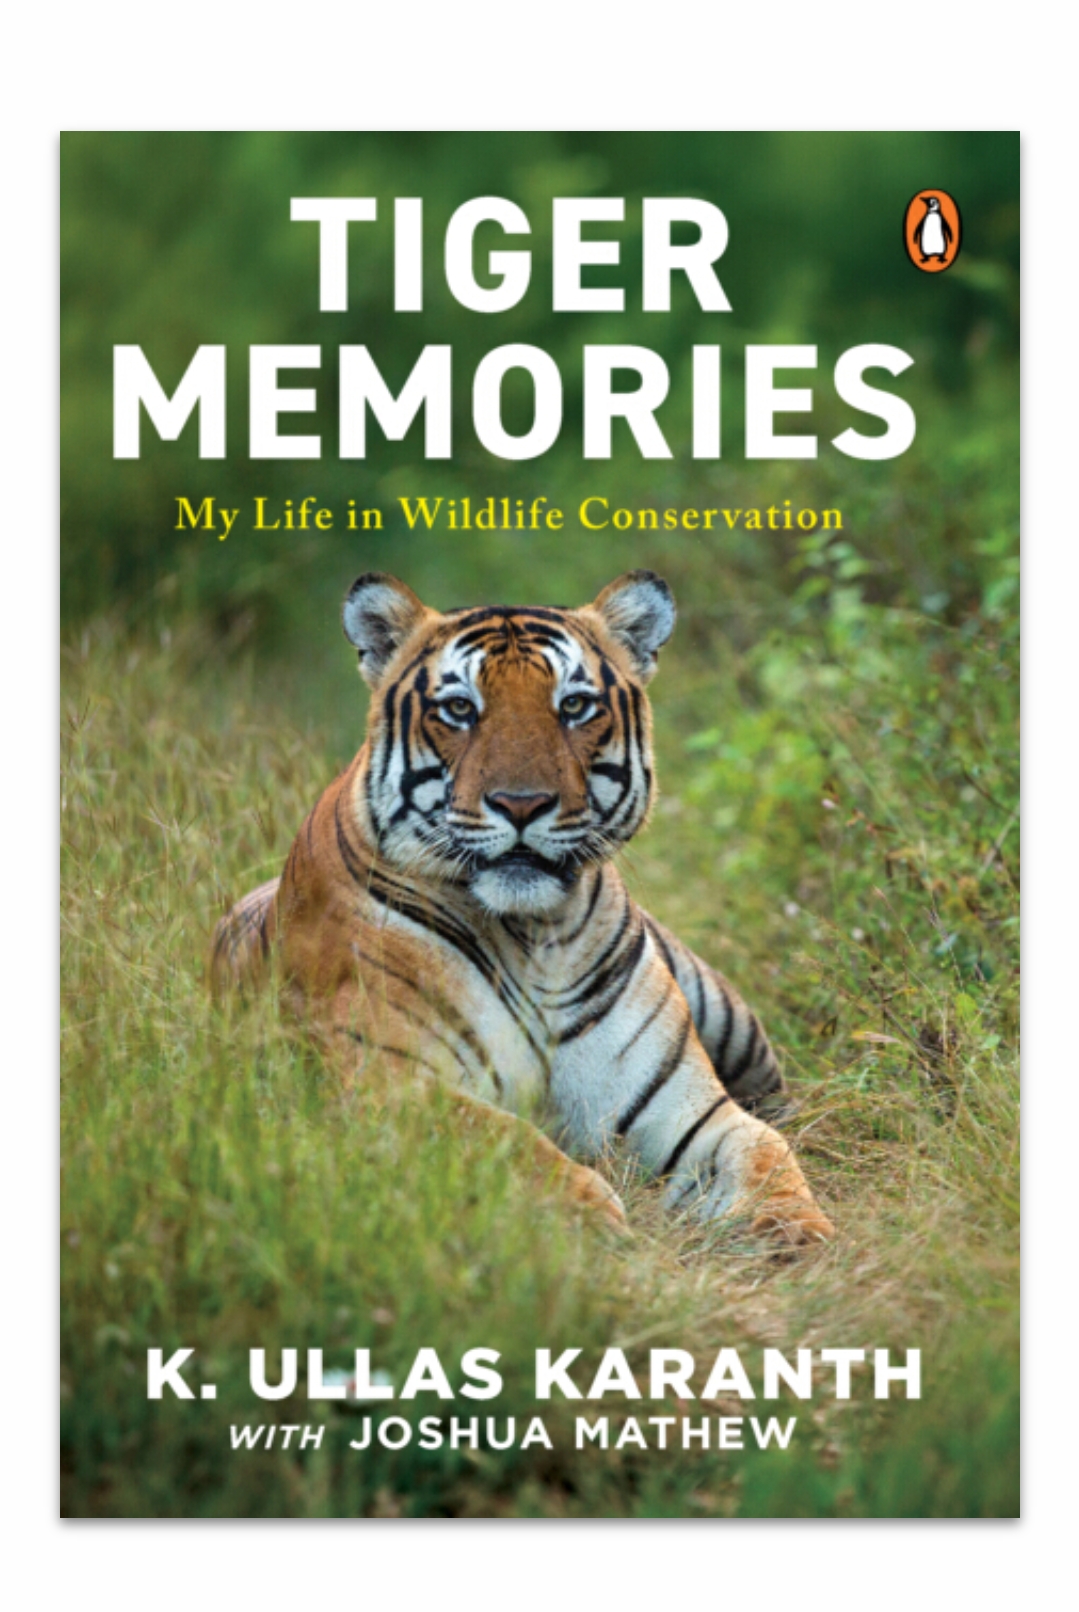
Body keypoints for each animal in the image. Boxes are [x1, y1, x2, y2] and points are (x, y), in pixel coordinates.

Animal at [212, 570, 834, 1246]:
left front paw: (798, 1233)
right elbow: (507, 1142)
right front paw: (590, 1224)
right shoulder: (387, 1082)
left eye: (574, 706)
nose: (521, 803)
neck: (535, 937)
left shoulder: (687, 1109)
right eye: (460, 709)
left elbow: (765, 1152)